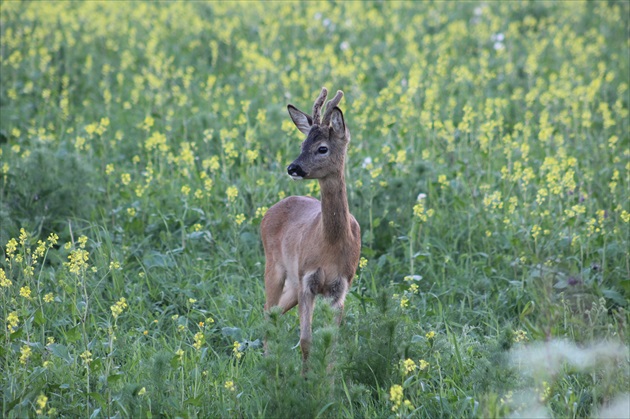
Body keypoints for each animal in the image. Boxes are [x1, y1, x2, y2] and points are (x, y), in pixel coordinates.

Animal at [260, 87, 360, 370]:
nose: (293, 168)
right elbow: (306, 340)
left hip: (292, 282)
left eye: (322, 148)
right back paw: (269, 366)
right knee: (267, 312)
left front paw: (328, 380)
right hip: (274, 267)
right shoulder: (308, 279)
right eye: (302, 145)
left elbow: (332, 342)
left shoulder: (340, 286)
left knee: (274, 312)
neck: (332, 243)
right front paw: (306, 379)